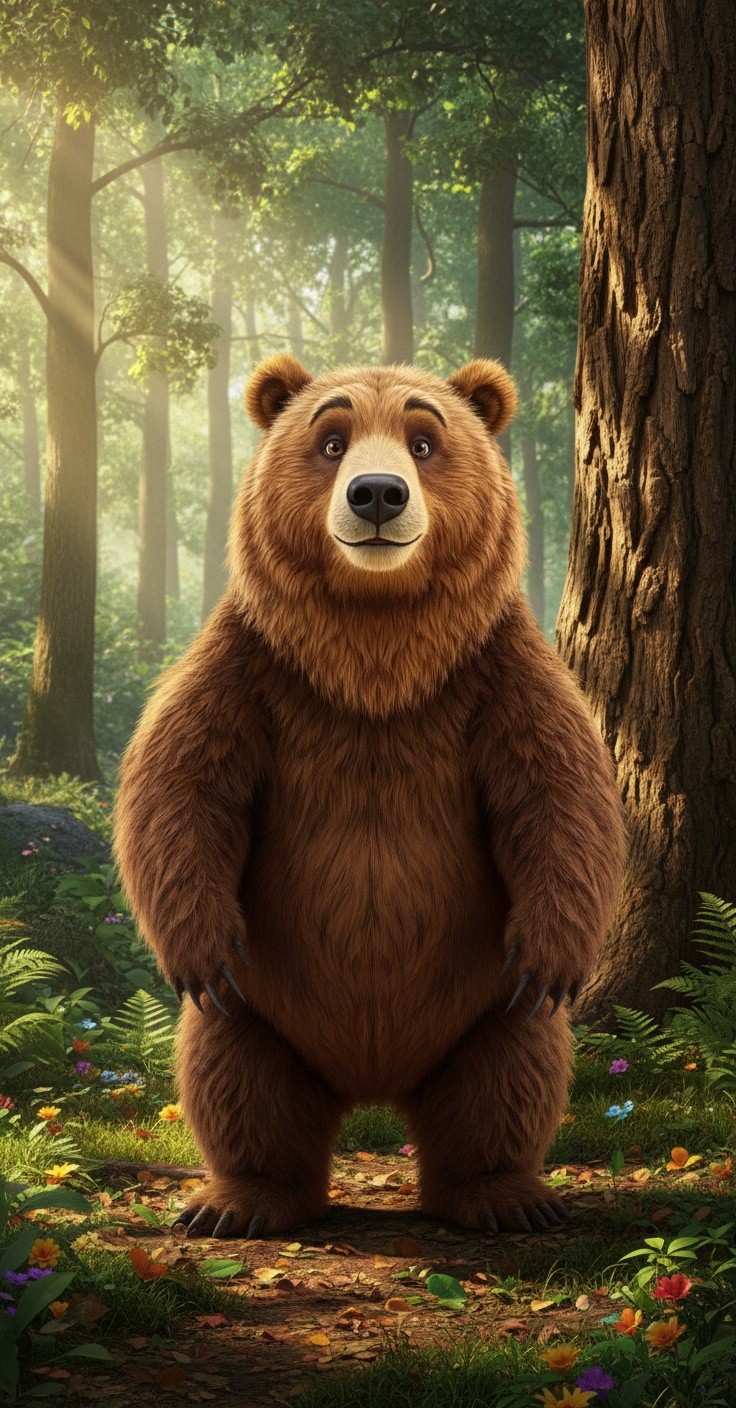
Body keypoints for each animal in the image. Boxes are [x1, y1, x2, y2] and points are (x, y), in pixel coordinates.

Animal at [112, 353, 626, 1241]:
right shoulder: (253, 664)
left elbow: (560, 793)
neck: (374, 648)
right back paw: (239, 1201)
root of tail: (375, 1086)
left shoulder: (494, 669)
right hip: (264, 1012)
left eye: (423, 440)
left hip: (481, 1010)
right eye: (331, 440)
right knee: (234, 1073)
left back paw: (506, 1195)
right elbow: (181, 785)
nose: (377, 493)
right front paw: (199, 947)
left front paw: (555, 953)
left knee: (512, 1071)